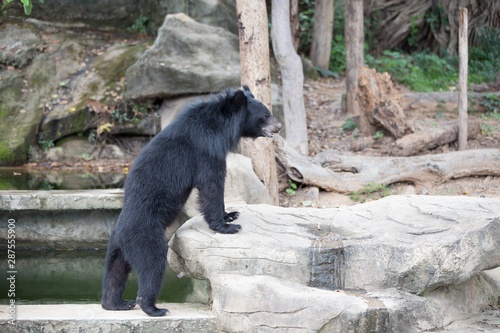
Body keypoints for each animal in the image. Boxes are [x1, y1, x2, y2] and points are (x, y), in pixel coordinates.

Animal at [101, 84, 282, 316]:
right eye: (265, 115)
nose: (278, 127)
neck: (221, 124)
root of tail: (121, 232)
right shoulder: (206, 148)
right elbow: (211, 185)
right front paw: (227, 226)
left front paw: (232, 215)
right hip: (144, 237)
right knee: (152, 265)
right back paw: (153, 308)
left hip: (117, 249)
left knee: (115, 272)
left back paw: (117, 303)